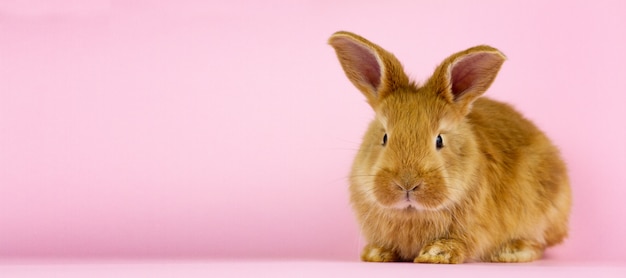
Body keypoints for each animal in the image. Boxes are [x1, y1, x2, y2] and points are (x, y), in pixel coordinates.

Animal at [326, 31, 572, 264]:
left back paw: (510, 252)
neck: (412, 213)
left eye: (439, 140)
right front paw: (377, 253)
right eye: (384, 137)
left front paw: (435, 254)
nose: (407, 184)